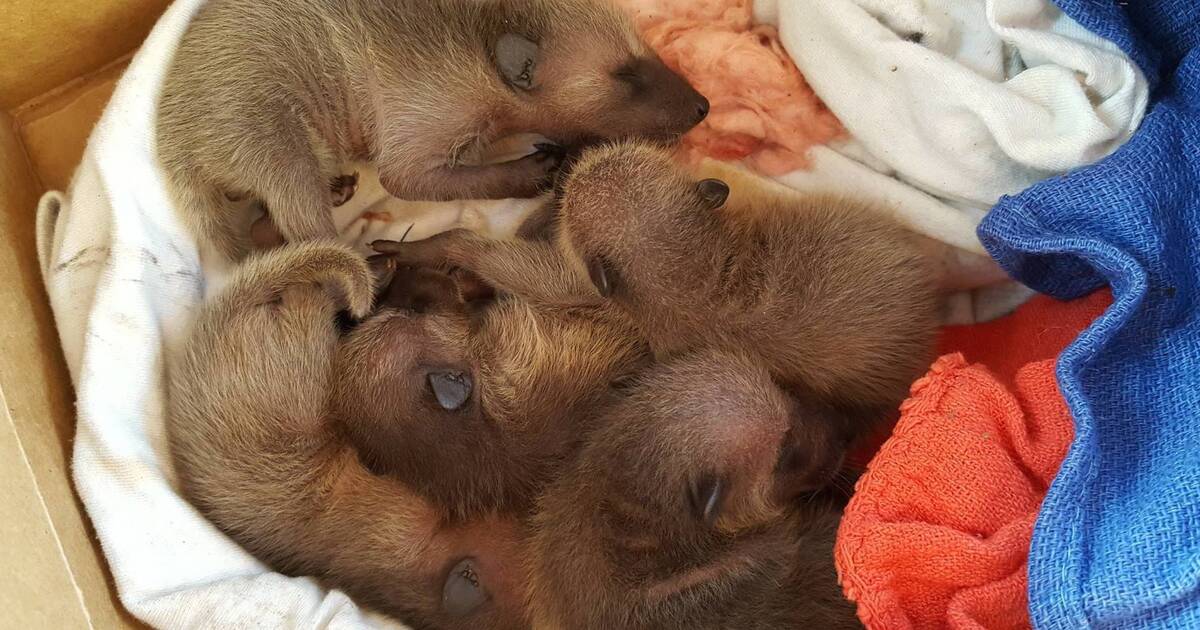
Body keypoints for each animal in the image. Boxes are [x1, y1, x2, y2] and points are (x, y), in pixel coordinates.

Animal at [154, 0, 705, 261]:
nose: (702, 107)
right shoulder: (423, 108)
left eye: (648, 53)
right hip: (261, 127)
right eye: (625, 76)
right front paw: (529, 170)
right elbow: (405, 178)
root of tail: (173, 142)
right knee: (298, 216)